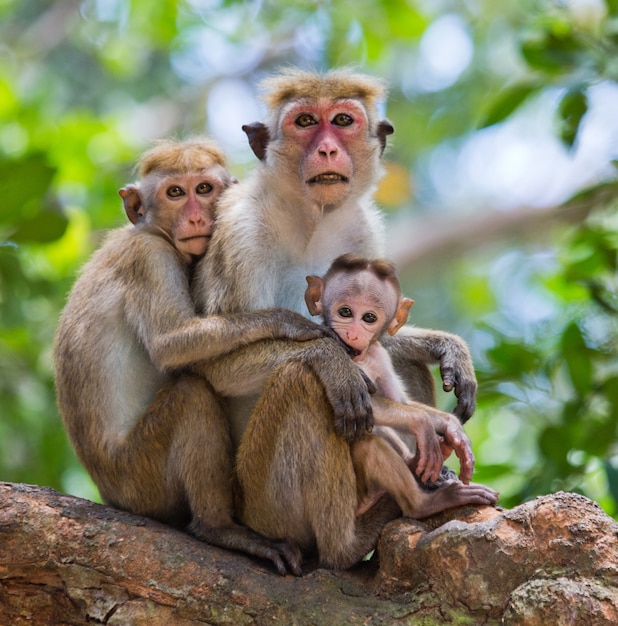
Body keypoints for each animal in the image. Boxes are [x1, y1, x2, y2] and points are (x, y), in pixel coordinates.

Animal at [53, 138, 356, 576]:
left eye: (204, 189)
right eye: (175, 193)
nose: (196, 216)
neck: (152, 230)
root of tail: (108, 492)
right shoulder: (150, 256)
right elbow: (170, 344)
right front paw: (301, 333)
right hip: (139, 479)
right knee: (192, 395)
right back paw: (219, 529)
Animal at [304, 252, 496, 516]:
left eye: (369, 317)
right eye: (345, 312)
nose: (352, 334)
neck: (358, 357)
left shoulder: (378, 354)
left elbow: (399, 402)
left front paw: (450, 425)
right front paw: (426, 422)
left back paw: (416, 463)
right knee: (370, 443)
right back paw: (425, 503)